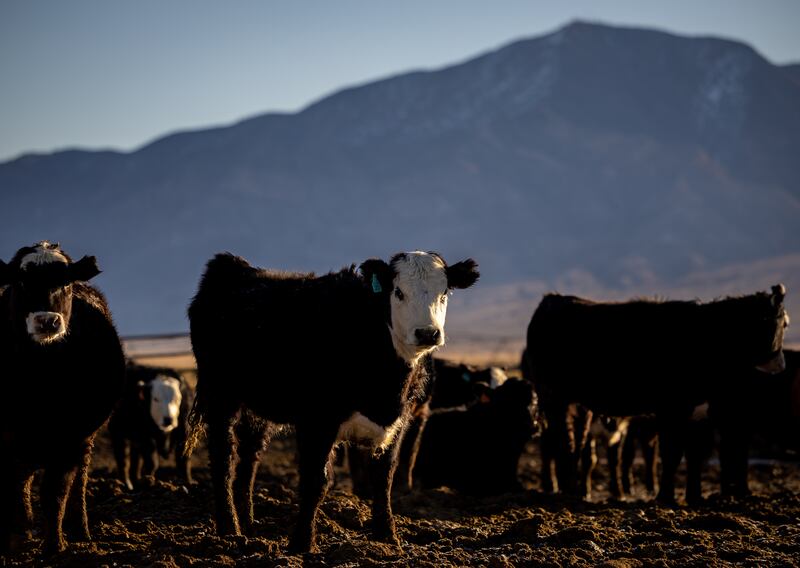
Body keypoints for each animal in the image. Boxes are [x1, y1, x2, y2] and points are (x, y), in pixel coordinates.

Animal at [0, 242, 125, 556]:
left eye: (65, 282)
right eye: (20, 282)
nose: (47, 320)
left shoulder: (71, 436)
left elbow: (55, 491)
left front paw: (54, 544)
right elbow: (12, 488)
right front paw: (12, 541)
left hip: (84, 442)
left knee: (78, 482)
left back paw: (80, 529)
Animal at [108, 361, 194, 490]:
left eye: (177, 398)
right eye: (156, 399)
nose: (168, 419)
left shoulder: (183, 433)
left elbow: (183, 460)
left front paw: (187, 482)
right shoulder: (145, 436)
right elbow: (152, 462)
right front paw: (149, 482)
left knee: (135, 460)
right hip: (118, 434)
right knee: (123, 459)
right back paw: (127, 484)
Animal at [185, 251, 479, 553]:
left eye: (444, 292)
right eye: (398, 292)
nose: (427, 333)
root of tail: (232, 265)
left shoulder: (400, 421)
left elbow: (383, 477)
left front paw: (387, 536)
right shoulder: (317, 421)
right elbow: (317, 480)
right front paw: (302, 543)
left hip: (256, 409)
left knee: (249, 457)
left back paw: (248, 526)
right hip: (220, 395)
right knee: (223, 457)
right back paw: (229, 529)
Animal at [526, 286, 788, 505]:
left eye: (784, 324)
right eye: (772, 322)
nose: (780, 366)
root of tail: (551, 299)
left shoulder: (699, 412)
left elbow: (695, 454)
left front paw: (694, 497)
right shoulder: (671, 408)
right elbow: (671, 452)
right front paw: (665, 496)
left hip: (579, 404)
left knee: (576, 442)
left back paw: (574, 490)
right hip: (553, 396)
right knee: (558, 441)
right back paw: (563, 489)